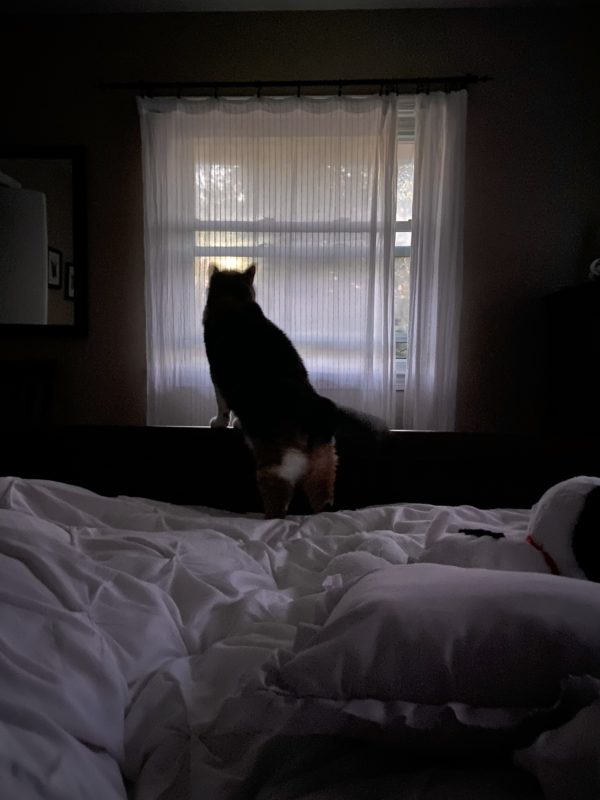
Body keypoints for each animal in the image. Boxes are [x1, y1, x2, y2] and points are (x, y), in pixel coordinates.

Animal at [204, 266, 386, 520]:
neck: (235, 301)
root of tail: (316, 408)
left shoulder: (216, 376)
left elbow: (222, 405)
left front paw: (221, 423)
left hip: (277, 464)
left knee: (278, 503)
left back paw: (269, 518)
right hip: (324, 462)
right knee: (322, 498)